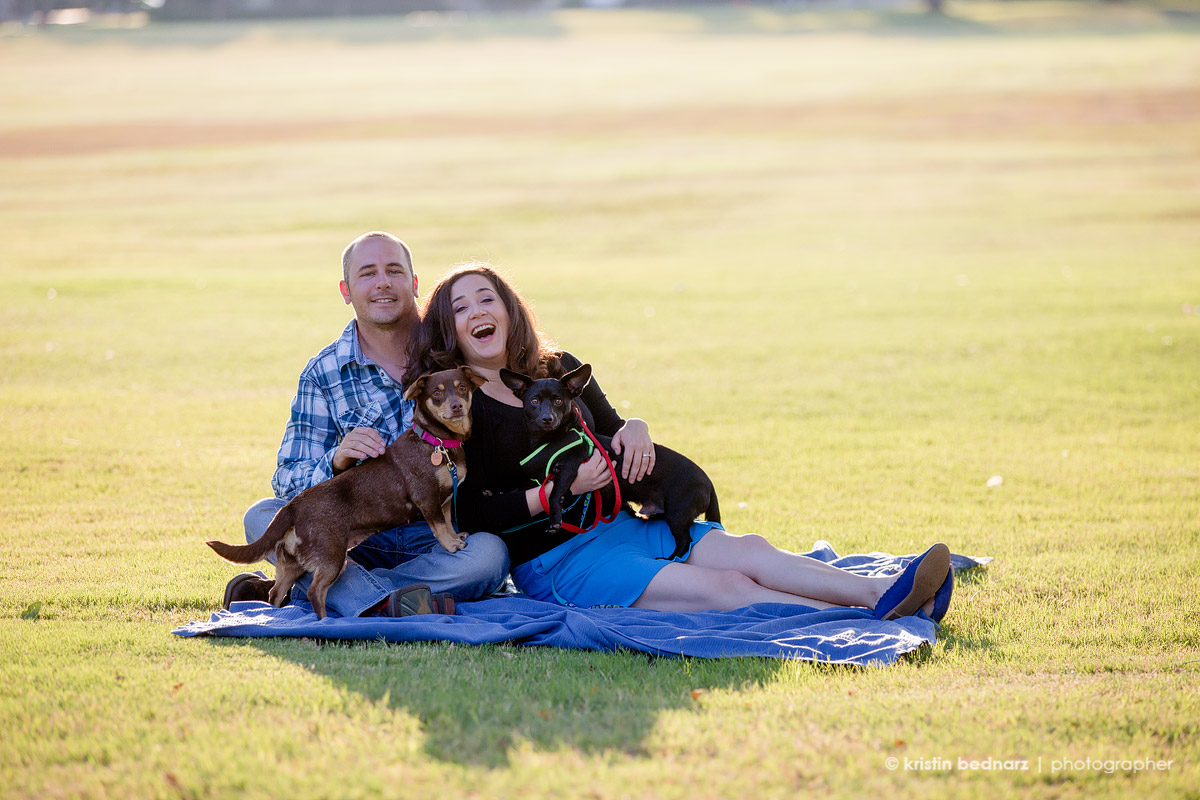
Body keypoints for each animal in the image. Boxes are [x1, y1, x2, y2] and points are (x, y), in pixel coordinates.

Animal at [206, 367, 482, 618]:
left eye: (462, 387)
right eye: (436, 392)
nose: (456, 406)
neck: (437, 441)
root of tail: (293, 506)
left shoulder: (444, 500)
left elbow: (448, 522)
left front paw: (456, 537)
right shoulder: (427, 498)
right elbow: (440, 527)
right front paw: (452, 545)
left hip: (291, 563)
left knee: (276, 592)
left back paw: (272, 615)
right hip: (332, 557)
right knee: (314, 592)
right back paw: (323, 623)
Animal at [499, 359, 715, 561]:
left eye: (558, 401)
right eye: (534, 401)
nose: (547, 418)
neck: (553, 439)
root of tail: (708, 482)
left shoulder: (569, 468)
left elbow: (552, 495)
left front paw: (554, 521)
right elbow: (535, 488)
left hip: (677, 513)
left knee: (685, 541)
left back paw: (670, 558)